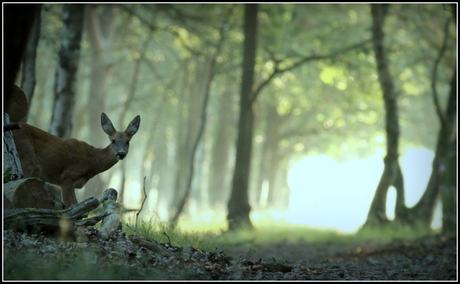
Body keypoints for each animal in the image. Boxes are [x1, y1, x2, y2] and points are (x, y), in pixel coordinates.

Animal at [13, 112, 141, 207]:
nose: (121, 154)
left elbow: (76, 204)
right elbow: (69, 206)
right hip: (26, 159)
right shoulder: (66, 178)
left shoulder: (73, 184)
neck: (92, 161)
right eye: (113, 141)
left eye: (127, 142)